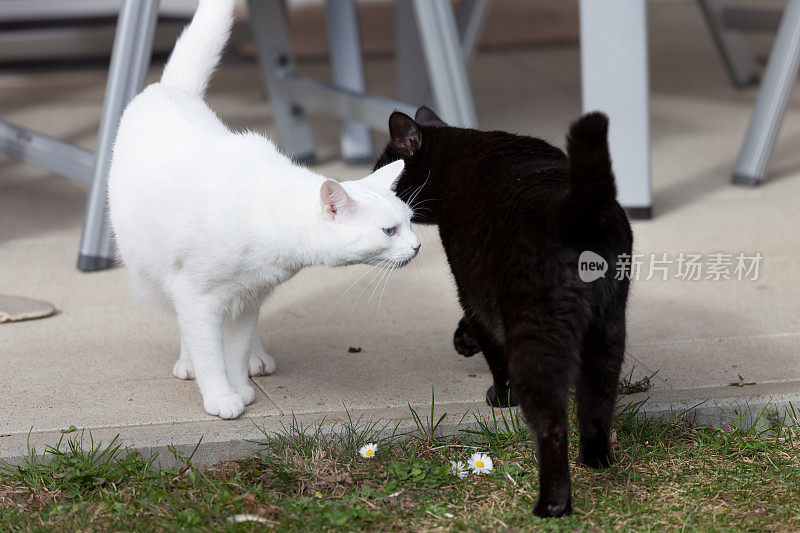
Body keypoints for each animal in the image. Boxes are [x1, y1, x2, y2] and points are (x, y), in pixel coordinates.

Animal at [108, 0, 418, 418]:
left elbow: (235, 350)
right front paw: (221, 396)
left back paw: (256, 359)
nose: (417, 246)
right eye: (390, 231)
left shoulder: (249, 297)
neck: (267, 214)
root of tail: (168, 90)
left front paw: (240, 384)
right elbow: (209, 350)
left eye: (411, 224)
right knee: (180, 320)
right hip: (153, 275)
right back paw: (188, 362)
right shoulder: (196, 295)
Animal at [374, 107, 632, 516]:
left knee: (552, 424)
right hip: (608, 332)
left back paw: (552, 504)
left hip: (536, 338)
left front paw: (499, 396)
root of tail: (569, 207)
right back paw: (597, 461)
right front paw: (463, 340)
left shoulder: (470, 288)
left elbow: (492, 348)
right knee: (597, 403)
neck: (456, 157)